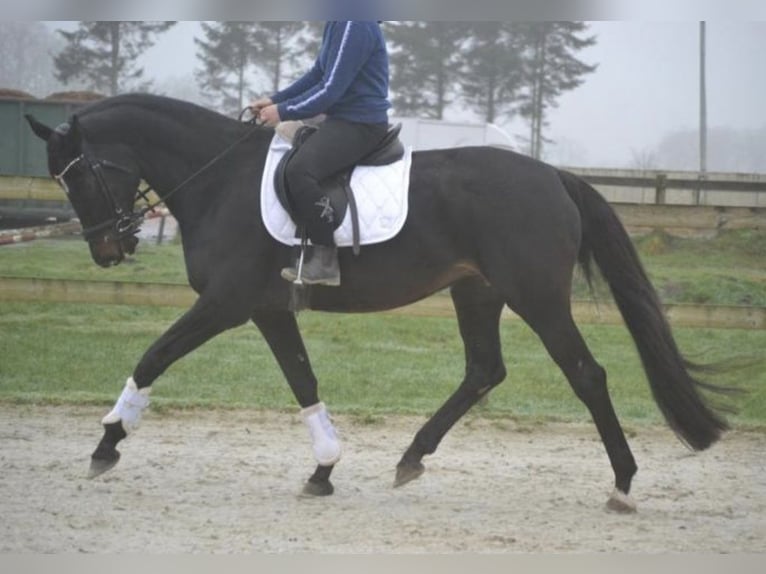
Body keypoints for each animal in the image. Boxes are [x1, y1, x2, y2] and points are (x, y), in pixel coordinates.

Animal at [27, 94, 736, 512]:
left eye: (82, 175)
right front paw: (323, 470)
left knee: (586, 375)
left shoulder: (227, 303)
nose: (107, 251)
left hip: (536, 297)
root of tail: (552, 176)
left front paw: (107, 443)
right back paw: (410, 458)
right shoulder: (268, 309)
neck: (220, 180)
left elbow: (154, 357)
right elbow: (303, 380)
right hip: (477, 292)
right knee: (484, 371)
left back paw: (622, 483)